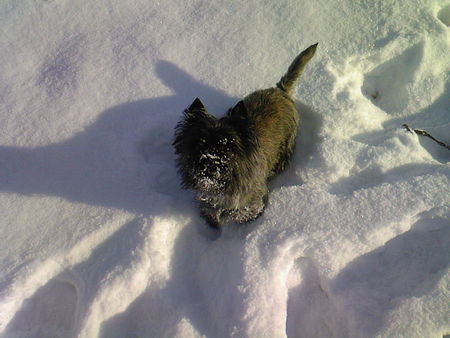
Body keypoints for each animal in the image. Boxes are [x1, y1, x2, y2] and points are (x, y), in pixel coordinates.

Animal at [171, 41, 316, 227]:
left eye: (227, 146)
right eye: (199, 143)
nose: (210, 164)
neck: (220, 185)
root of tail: (279, 90)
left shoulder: (251, 200)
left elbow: (242, 212)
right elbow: (210, 211)